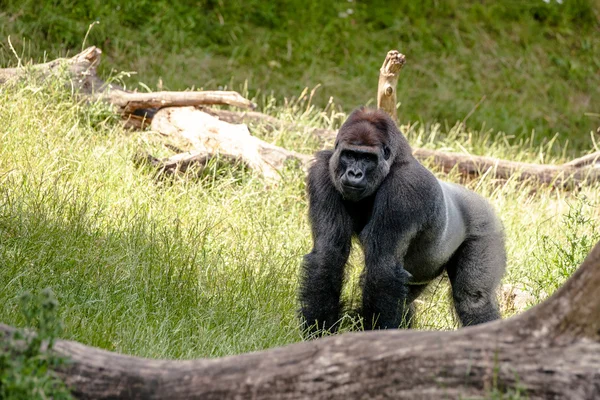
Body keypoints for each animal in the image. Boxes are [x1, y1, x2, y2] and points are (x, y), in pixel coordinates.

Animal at [300, 108, 506, 332]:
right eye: (349, 155)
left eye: (368, 158)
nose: (354, 173)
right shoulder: (323, 172)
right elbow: (328, 254)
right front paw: (318, 330)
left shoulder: (405, 187)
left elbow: (383, 268)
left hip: (486, 225)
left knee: (473, 300)